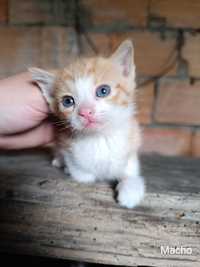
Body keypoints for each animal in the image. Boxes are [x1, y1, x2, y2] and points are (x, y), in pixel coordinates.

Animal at [29, 39, 145, 208]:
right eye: (68, 101)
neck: (99, 139)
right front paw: (70, 169)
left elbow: (131, 175)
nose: (85, 112)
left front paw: (130, 191)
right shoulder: (66, 144)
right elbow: (83, 175)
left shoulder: (130, 152)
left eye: (103, 91)